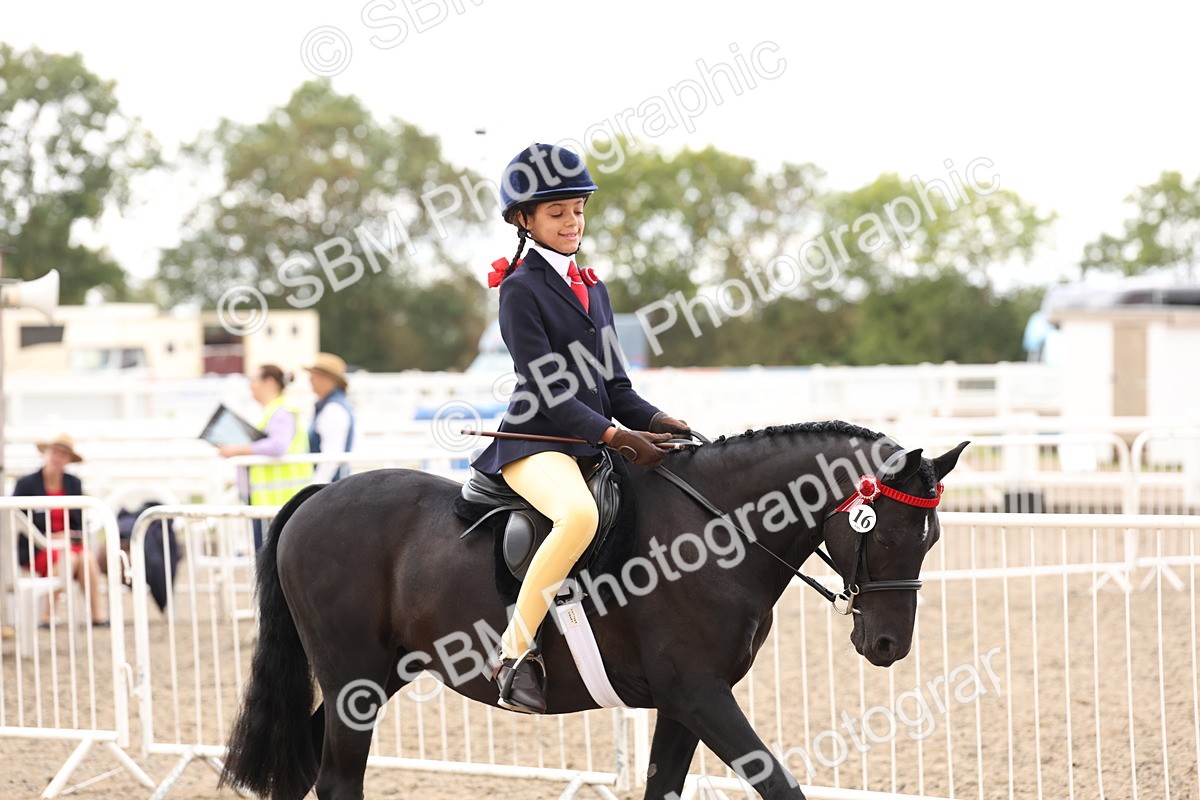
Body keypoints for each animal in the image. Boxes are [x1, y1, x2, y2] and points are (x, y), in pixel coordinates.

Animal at [219, 421, 968, 800]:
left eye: (931, 539)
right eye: (886, 533)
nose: (888, 646)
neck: (716, 531)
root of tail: (317, 498)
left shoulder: (685, 702)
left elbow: (663, 791)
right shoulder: (700, 695)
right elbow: (781, 788)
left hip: (378, 675)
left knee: (302, 768)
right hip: (354, 680)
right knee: (336, 778)